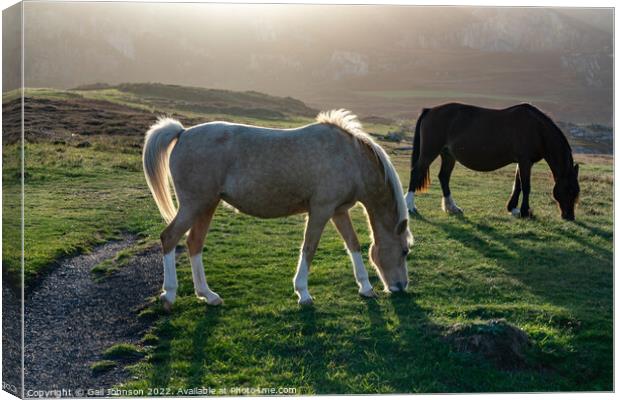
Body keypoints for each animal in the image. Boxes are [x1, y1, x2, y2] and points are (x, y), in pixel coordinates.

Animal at [404, 103, 580, 220]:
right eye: (570, 190)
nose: (569, 216)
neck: (537, 129)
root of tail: (429, 110)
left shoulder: (523, 161)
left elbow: (517, 184)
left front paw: (513, 208)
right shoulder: (525, 160)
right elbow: (526, 186)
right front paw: (525, 212)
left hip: (448, 155)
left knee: (443, 177)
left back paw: (452, 207)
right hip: (430, 152)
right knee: (416, 172)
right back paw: (410, 206)